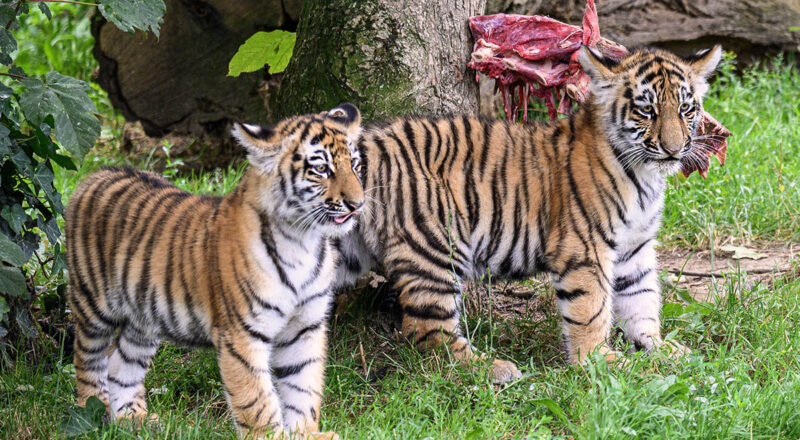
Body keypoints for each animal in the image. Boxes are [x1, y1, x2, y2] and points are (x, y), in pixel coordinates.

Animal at [65, 104, 364, 439]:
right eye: (321, 169)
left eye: (355, 164)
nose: (357, 204)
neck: (304, 240)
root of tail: (96, 174)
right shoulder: (242, 333)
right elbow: (256, 398)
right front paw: (269, 435)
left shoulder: (305, 325)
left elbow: (303, 386)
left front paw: (307, 432)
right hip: (94, 303)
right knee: (88, 357)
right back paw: (93, 412)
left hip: (143, 317)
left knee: (121, 361)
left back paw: (132, 419)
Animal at [334, 45, 722, 382]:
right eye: (647, 111)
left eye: (686, 109)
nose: (674, 149)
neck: (646, 175)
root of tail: (364, 144)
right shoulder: (585, 247)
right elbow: (592, 308)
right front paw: (599, 360)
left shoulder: (635, 247)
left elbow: (641, 298)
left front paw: (659, 348)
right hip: (434, 246)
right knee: (425, 329)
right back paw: (490, 368)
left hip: (349, 249)